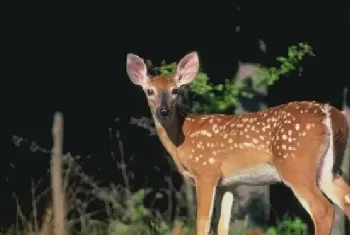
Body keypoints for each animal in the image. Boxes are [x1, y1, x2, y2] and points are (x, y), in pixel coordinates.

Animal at [126, 51, 350, 235]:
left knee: (323, 210)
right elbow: (222, 226)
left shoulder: (206, 172)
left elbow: (203, 224)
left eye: (175, 91)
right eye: (149, 91)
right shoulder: (228, 184)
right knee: (345, 199)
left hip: (296, 165)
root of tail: (331, 113)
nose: (163, 111)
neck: (183, 139)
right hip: (329, 169)